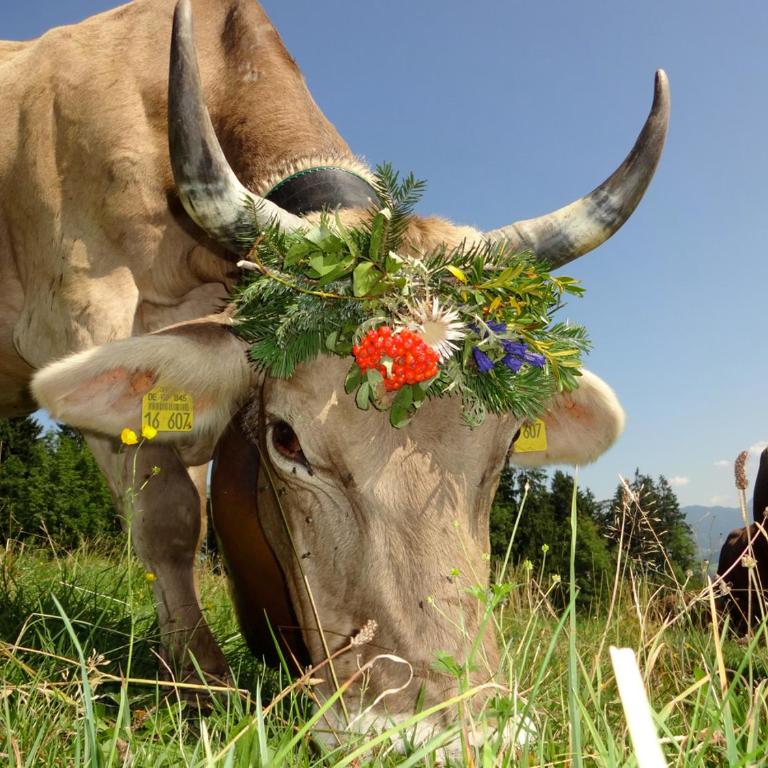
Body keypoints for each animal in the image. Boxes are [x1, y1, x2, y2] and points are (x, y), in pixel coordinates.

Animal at [3, 0, 669, 744]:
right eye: (286, 440)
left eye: (504, 451)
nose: (445, 734)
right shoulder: (82, 311)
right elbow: (166, 517)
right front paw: (200, 684)